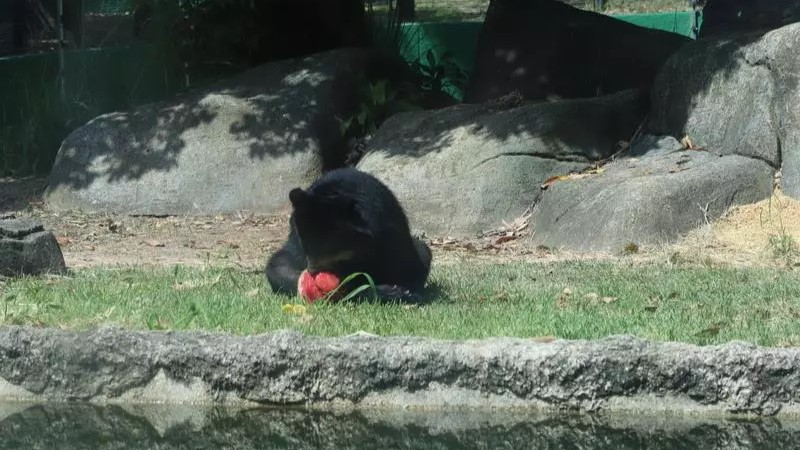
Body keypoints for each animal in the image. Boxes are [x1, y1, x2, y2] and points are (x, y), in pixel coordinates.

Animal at [266, 168, 432, 302]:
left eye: (326, 245)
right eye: (305, 244)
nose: (312, 271)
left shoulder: (390, 236)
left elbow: (406, 268)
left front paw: (405, 292)